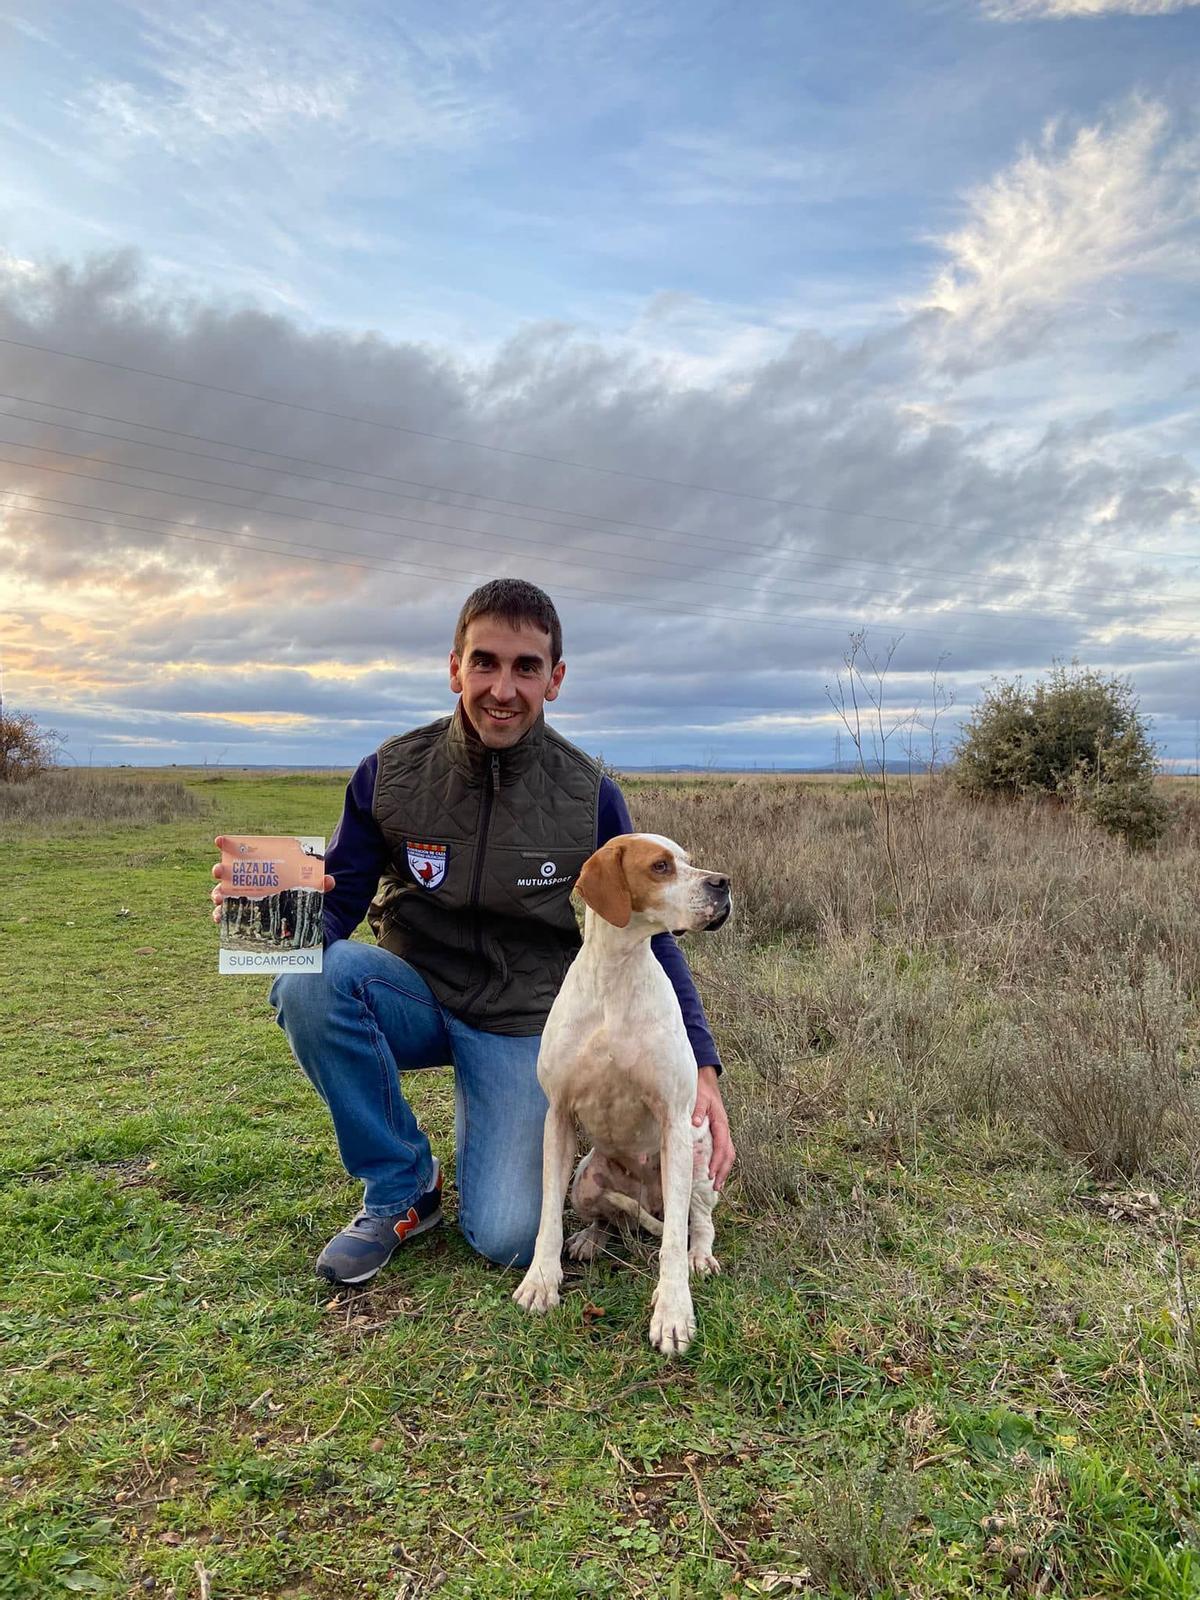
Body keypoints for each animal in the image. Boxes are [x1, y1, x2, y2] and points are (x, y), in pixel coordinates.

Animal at [508, 838, 732, 1350]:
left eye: (687, 860)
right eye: (660, 866)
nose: (723, 884)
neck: (616, 973)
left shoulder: (674, 1119)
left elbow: (673, 1244)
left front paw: (673, 1311)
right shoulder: (558, 1116)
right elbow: (547, 1218)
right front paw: (541, 1280)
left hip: (695, 1161)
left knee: (696, 1223)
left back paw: (700, 1256)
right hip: (585, 1180)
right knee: (609, 1218)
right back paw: (590, 1238)